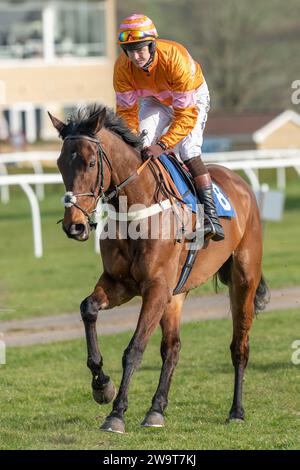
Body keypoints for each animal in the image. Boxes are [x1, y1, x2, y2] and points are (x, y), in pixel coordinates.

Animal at [49, 104, 270, 436]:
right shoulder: (120, 283)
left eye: (90, 162)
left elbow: (134, 348)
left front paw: (116, 414)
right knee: (173, 348)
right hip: (176, 294)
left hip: (244, 279)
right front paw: (102, 385)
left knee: (239, 347)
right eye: (61, 164)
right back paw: (156, 410)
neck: (136, 209)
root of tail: (241, 184)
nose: (73, 226)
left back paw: (236, 410)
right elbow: (88, 308)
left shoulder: (155, 287)